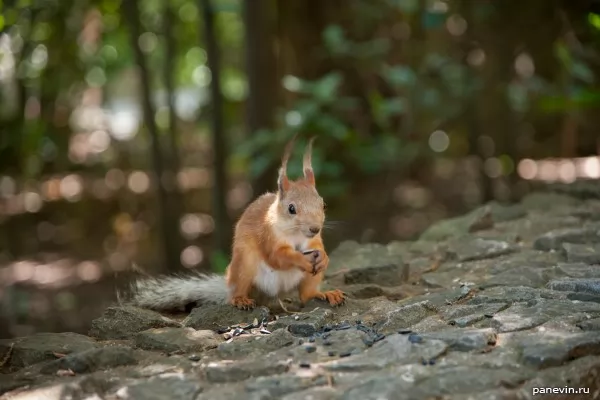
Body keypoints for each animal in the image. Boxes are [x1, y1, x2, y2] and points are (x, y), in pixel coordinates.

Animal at [126, 136, 346, 314]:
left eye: (323, 204)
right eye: (291, 209)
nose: (315, 228)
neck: (295, 234)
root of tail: (272, 295)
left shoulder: (313, 241)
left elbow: (317, 248)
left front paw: (324, 257)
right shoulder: (267, 235)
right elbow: (277, 257)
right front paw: (299, 259)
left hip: (308, 278)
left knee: (306, 295)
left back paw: (324, 294)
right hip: (243, 266)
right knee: (238, 290)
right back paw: (240, 300)